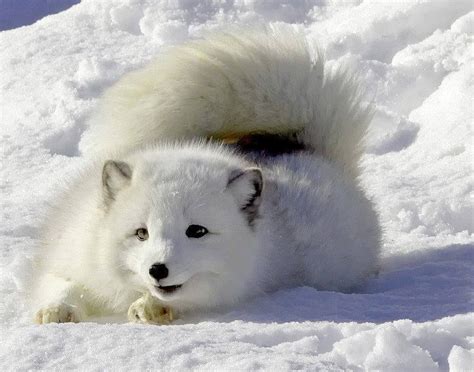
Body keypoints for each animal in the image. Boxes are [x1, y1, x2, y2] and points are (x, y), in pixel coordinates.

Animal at [33, 26, 382, 324]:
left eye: (196, 231)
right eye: (141, 233)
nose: (157, 270)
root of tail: (297, 147)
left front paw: (151, 306)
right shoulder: (70, 252)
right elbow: (60, 282)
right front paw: (57, 309)